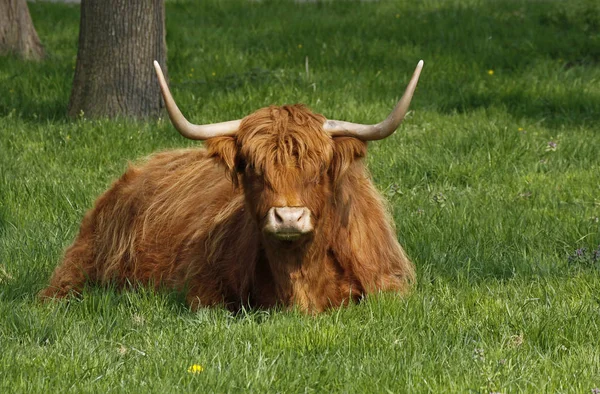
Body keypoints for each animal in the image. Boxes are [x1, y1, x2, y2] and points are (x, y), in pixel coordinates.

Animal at [38, 60, 422, 312]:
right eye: (252, 167)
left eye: (320, 169)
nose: (288, 218)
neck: (300, 277)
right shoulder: (202, 285)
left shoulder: (390, 282)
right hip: (81, 261)